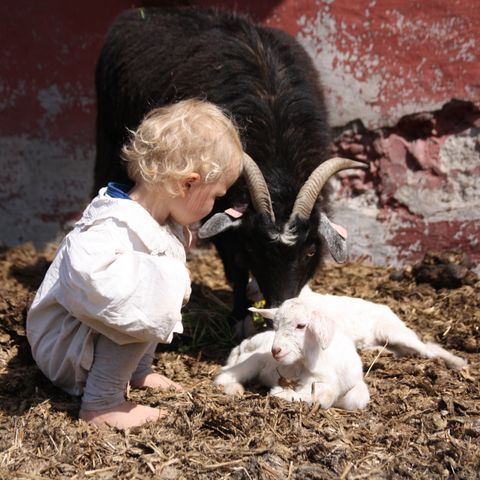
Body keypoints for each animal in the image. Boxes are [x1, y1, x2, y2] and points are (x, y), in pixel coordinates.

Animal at [94, 4, 364, 322]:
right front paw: (238, 316)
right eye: (254, 248)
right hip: (108, 134)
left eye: (310, 250)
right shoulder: (218, 205)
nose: (278, 310)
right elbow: (235, 267)